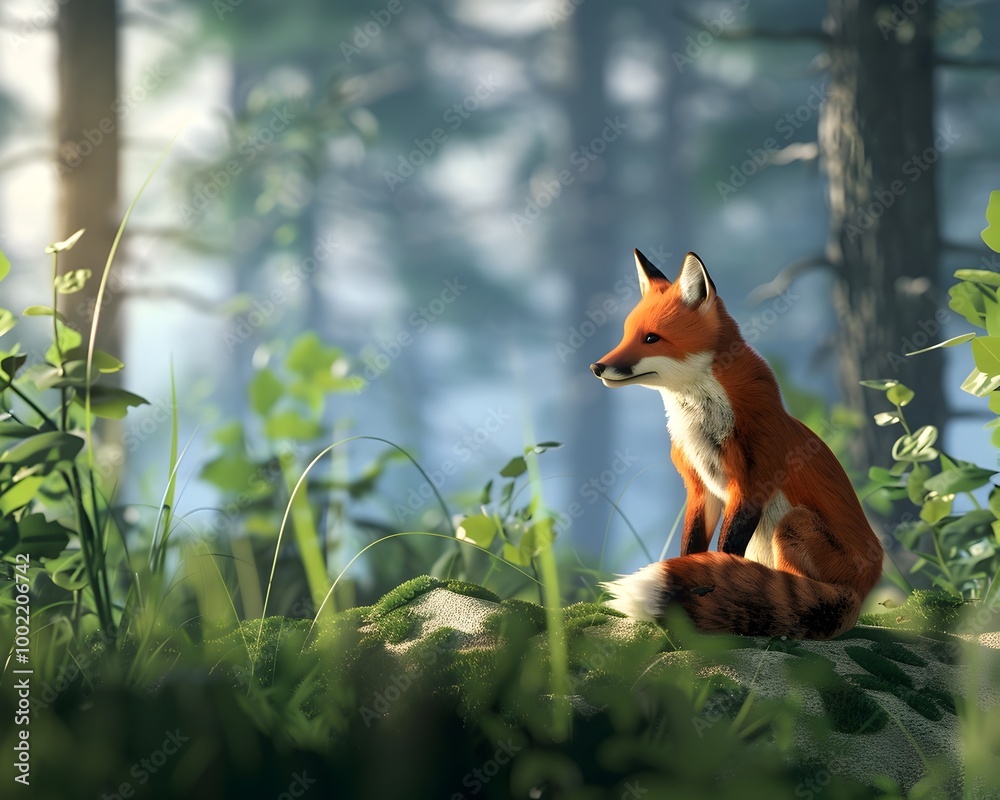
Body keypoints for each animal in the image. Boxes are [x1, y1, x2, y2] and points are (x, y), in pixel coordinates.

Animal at [591, 250, 883, 639]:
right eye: (626, 335)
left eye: (652, 338)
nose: (597, 366)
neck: (701, 427)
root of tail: (863, 591)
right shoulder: (702, 489)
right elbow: (693, 548)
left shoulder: (750, 486)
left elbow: (727, 551)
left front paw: (714, 586)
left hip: (794, 523)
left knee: (798, 589)